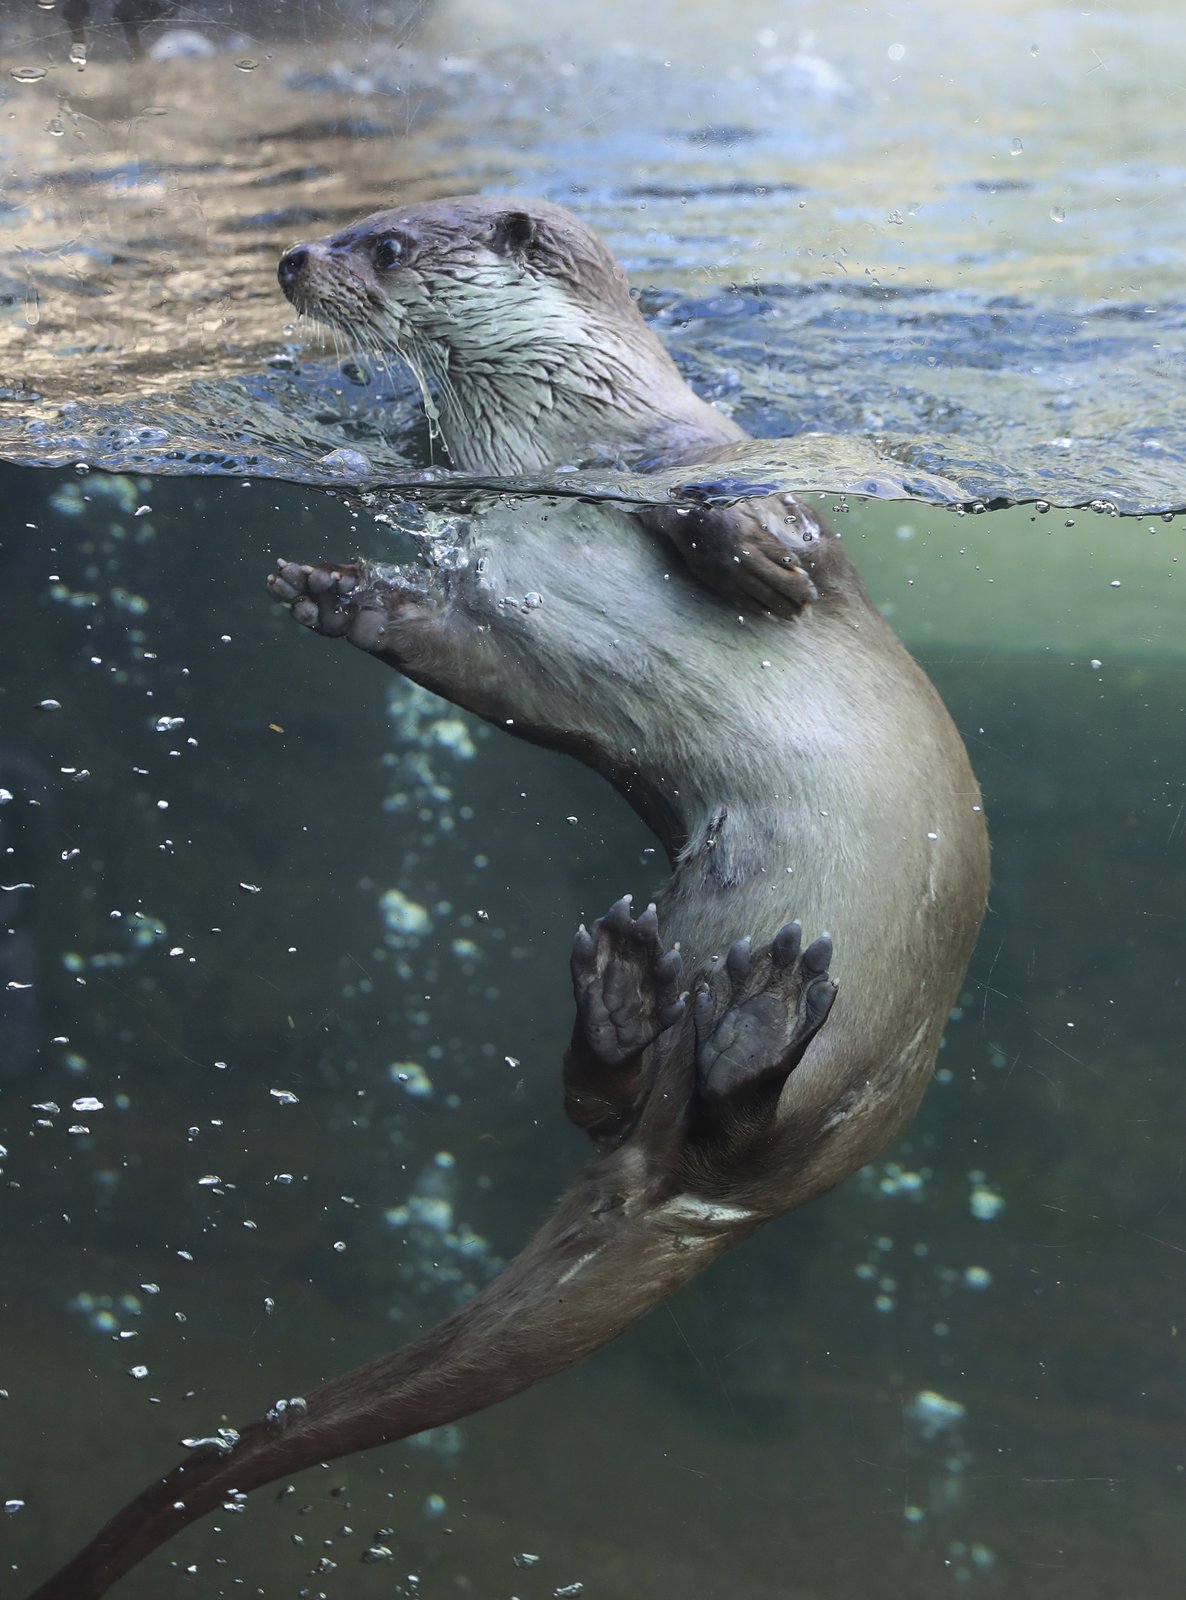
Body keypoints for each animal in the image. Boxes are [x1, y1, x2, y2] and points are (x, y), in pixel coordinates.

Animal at [25, 200, 992, 1600]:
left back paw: (747, 1019)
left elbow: (779, 540)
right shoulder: (495, 617)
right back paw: (641, 1003)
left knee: (743, 1130)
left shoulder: (701, 459)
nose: (290, 258)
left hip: (870, 1084)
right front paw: (342, 593)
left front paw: (748, 545)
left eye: (383, 243)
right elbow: (456, 656)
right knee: (619, 1108)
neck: (544, 447)